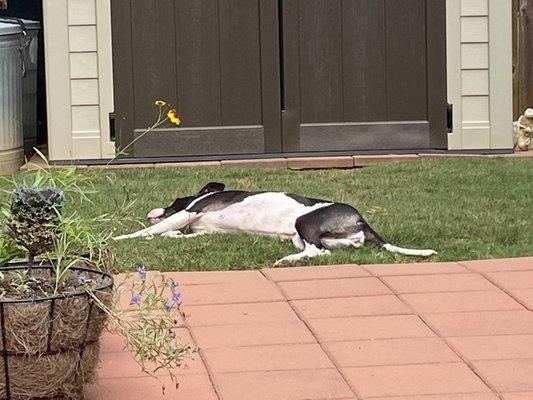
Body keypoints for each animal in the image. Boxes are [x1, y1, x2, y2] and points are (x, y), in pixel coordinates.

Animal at [114, 182, 434, 266]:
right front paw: (168, 237)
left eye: (172, 202)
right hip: (304, 236)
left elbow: (152, 230)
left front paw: (121, 238)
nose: (152, 210)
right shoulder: (203, 231)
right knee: (321, 252)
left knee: (316, 251)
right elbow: (171, 235)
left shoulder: (190, 212)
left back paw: (284, 261)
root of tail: (362, 221)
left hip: (303, 221)